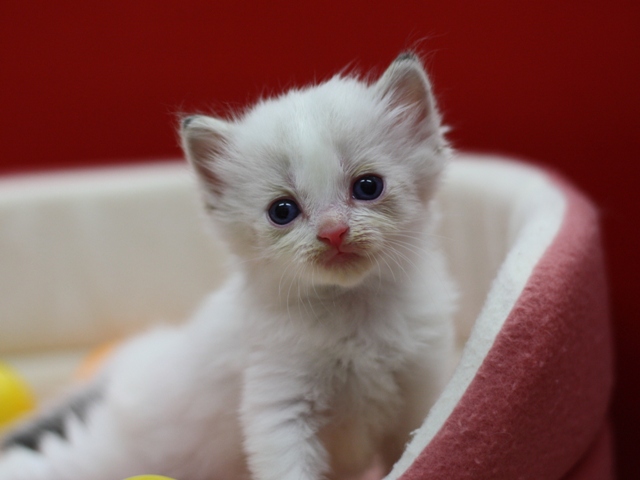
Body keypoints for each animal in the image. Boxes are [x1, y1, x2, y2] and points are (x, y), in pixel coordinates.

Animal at [1, 53, 460, 480]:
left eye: (367, 186)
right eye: (282, 211)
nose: (333, 232)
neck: (354, 311)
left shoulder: (421, 388)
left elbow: (414, 444)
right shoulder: (277, 402)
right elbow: (287, 468)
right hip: (105, 455)